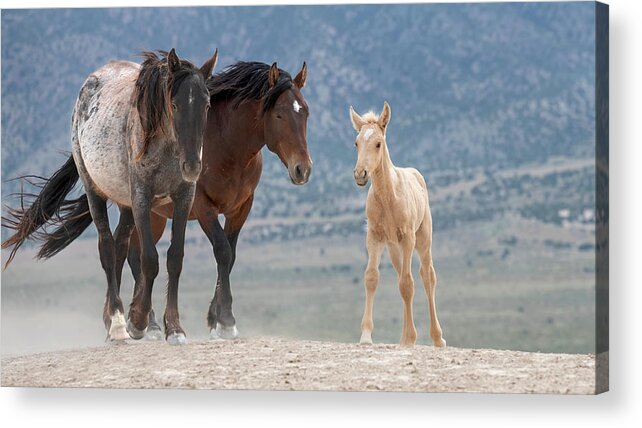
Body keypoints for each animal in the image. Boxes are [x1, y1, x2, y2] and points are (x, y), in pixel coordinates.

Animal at [350, 101, 444, 348]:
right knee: (402, 276)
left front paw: (411, 339)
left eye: (378, 143)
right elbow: (372, 278)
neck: (388, 197)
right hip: (394, 248)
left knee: (427, 276)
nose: (360, 174)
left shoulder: (408, 237)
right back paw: (404, 337)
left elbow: (408, 284)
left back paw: (437, 338)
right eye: (356, 143)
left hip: (422, 240)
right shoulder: (374, 237)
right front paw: (366, 336)